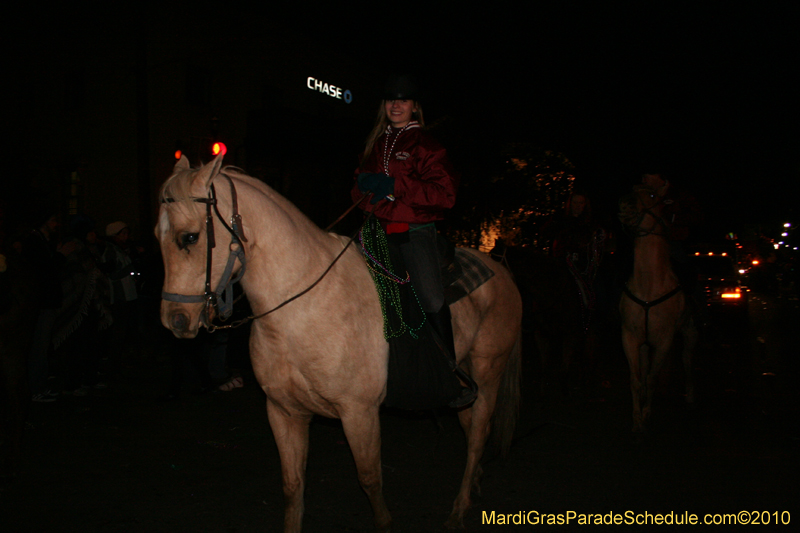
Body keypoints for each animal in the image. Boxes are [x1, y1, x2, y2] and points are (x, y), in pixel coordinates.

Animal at [155, 153, 520, 528]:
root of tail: (501, 270)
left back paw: (459, 509)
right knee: (471, 426)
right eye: (158, 236)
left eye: (190, 237)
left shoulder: (359, 413)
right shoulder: (284, 412)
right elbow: (292, 487)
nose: (174, 320)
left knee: (478, 436)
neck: (301, 310)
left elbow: (371, 481)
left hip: (488, 375)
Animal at [620, 186, 692, 432]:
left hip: (689, 332)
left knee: (686, 358)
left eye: (652, 196)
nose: (625, 206)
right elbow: (636, 378)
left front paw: (646, 413)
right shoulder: (631, 337)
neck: (649, 284)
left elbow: (652, 377)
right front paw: (636, 418)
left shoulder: (664, 339)